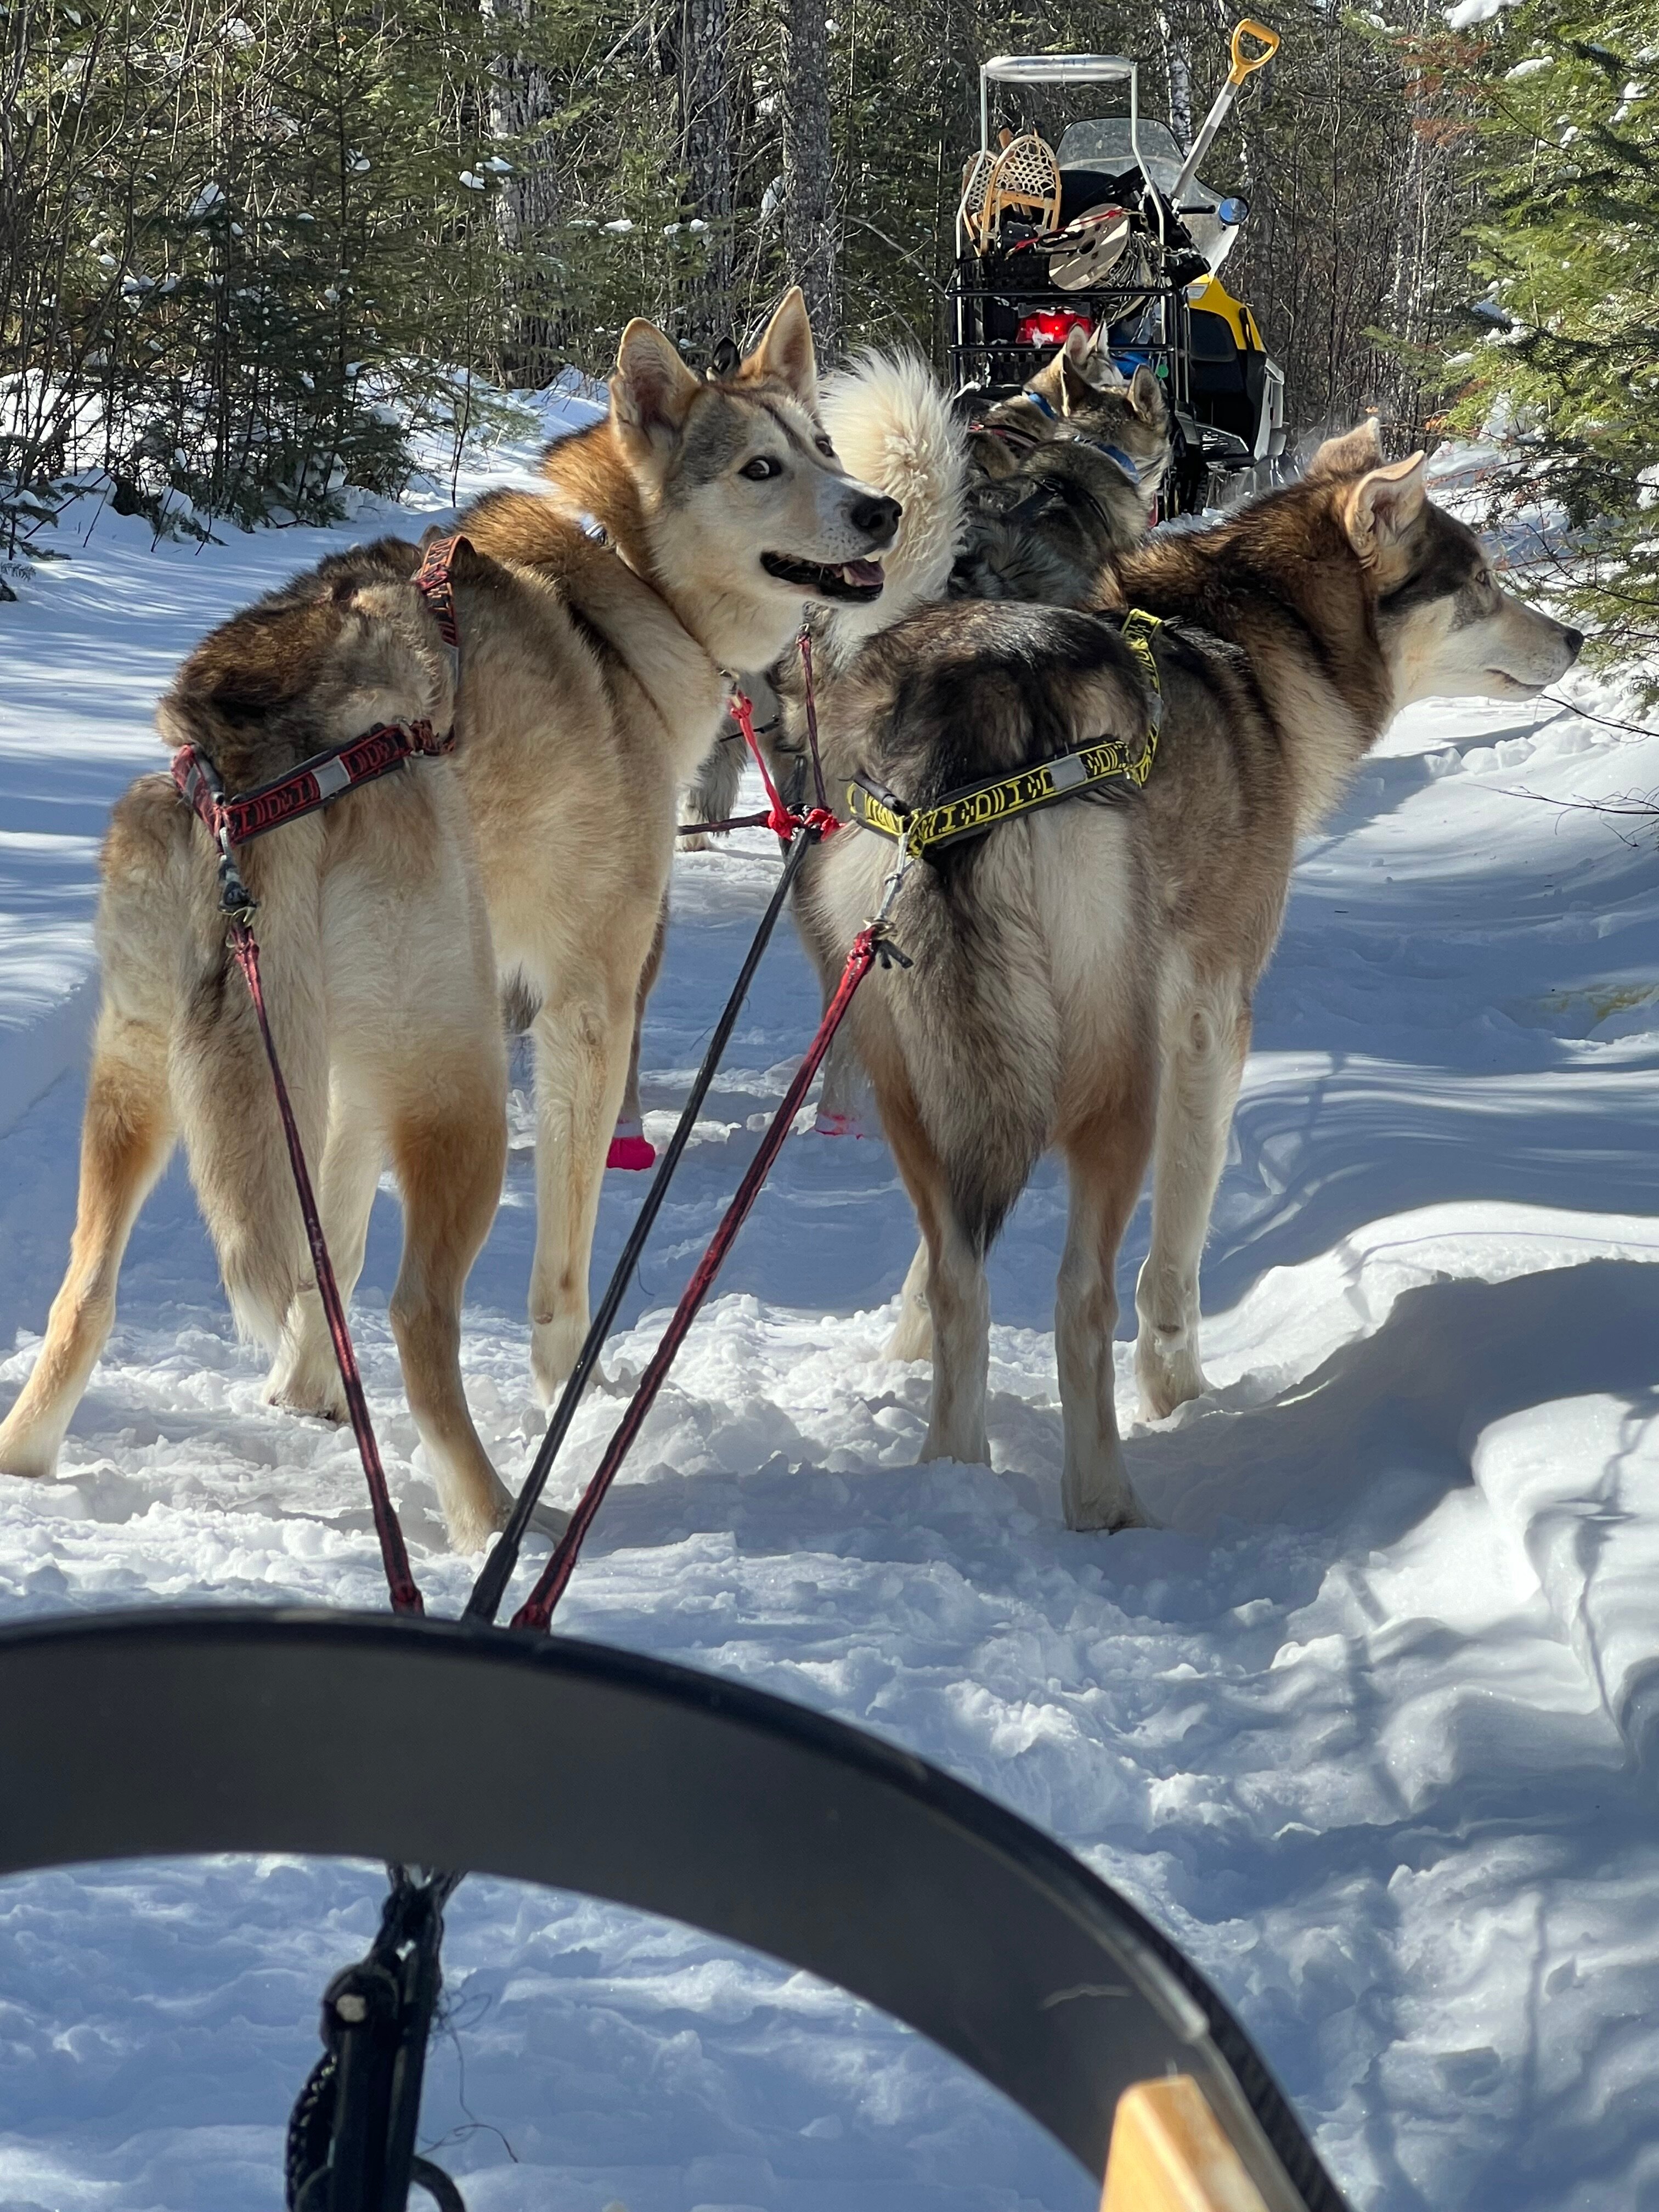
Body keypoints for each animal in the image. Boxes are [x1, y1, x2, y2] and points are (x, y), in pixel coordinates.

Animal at [0, 285, 902, 1548]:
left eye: (823, 446)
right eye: (761, 467)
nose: (879, 511)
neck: (623, 570)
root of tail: (254, 751)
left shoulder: (335, 1074)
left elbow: (324, 1235)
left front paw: (305, 1388)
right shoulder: (588, 1005)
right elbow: (563, 1272)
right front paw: (570, 1381)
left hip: (147, 1073)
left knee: (86, 1288)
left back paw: (27, 1455)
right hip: (461, 1081)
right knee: (419, 1311)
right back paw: (491, 1512)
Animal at [792, 416, 1583, 1531]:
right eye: (1475, 584)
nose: (1575, 638)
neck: (1258, 644)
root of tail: (971, 708)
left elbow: (940, 1270)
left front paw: (906, 1353)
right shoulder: (1212, 1021)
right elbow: (1175, 1262)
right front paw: (1180, 1391)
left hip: (901, 1056)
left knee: (958, 1272)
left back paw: (950, 1476)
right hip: (1116, 1081)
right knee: (1081, 1294)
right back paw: (1104, 1502)